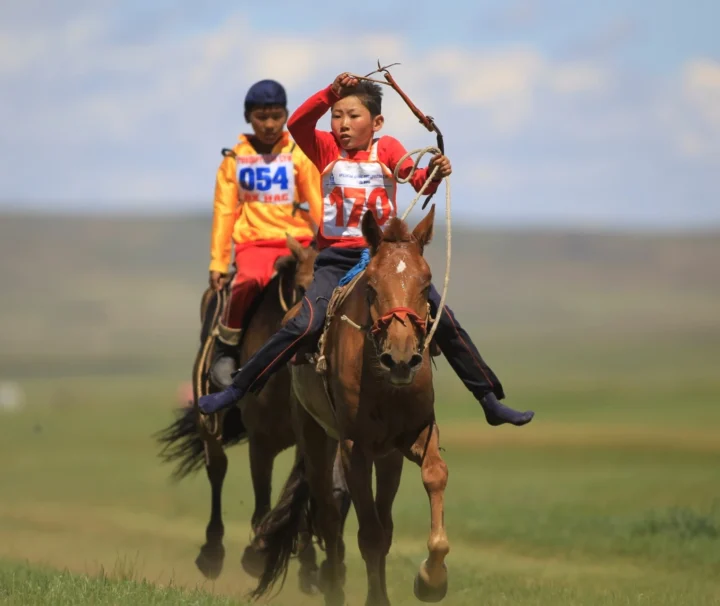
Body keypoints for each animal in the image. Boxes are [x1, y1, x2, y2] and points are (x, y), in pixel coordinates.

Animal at [155, 234, 328, 592]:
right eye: (302, 287)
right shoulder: (260, 442)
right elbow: (262, 503)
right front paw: (255, 555)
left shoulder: (307, 440)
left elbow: (299, 498)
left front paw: (307, 566)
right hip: (209, 423)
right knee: (217, 470)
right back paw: (211, 553)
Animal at [250, 206, 450, 606]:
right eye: (371, 286)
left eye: (426, 284)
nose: (401, 359)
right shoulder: (354, 448)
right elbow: (368, 535)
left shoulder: (416, 432)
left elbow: (434, 476)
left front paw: (432, 579)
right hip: (315, 437)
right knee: (328, 519)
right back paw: (332, 587)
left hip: (387, 457)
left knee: (378, 522)